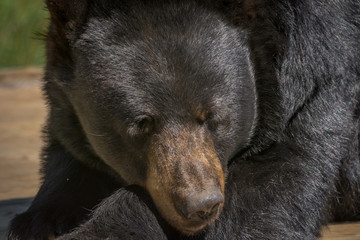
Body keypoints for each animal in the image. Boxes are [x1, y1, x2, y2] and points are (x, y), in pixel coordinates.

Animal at [7, 0, 360, 239]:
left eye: (214, 117)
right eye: (140, 124)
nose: (201, 205)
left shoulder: (314, 81)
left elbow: (261, 199)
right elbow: (71, 152)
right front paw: (37, 219)